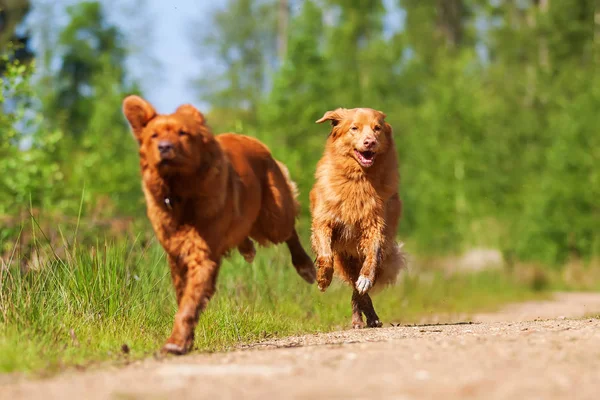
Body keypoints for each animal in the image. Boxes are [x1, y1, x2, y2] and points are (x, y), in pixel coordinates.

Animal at [123, 95, 316, 354]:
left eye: (183, 133)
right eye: (154, 135)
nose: (165, 147)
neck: (179, 191)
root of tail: (253, 140)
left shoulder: (202, 252)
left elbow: (190, 300)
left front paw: (177, 341)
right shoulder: (176, 254)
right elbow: (184, 295)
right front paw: (182, 339)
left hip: (273, 217)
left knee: (289, 231)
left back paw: (305, 266)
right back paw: (247, 248)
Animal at [312, 107, 406, 328]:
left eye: (377, 128)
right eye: (354, 128)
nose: (369, 142)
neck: (358, 178)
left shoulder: (375, 225)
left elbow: (372, 255)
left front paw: (365, 278)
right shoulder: (323, 221)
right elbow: (325, 255)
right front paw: (323, 279)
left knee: (359, 290)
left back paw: (370, 316)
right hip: (345, 260)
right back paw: (360, 319)